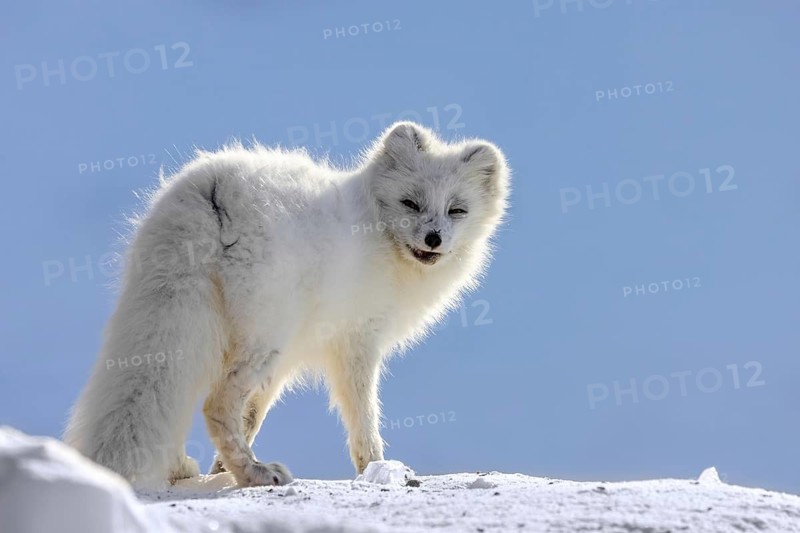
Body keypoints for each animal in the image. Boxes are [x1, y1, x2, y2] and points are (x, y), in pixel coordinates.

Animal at [63, 121, 510, 488]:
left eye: (457, 210)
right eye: (411, 204)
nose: (434, 238)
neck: (380, 234)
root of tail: (215, 185)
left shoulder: (289, 360)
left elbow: (253, 415)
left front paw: (218, 470)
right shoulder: (356, 343)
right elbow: (364, 417)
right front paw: (377, 469)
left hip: (201, 329)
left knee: (183, 396)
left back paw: (185, 471)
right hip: (265, 335)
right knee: (214, 404)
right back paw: (256, 474)